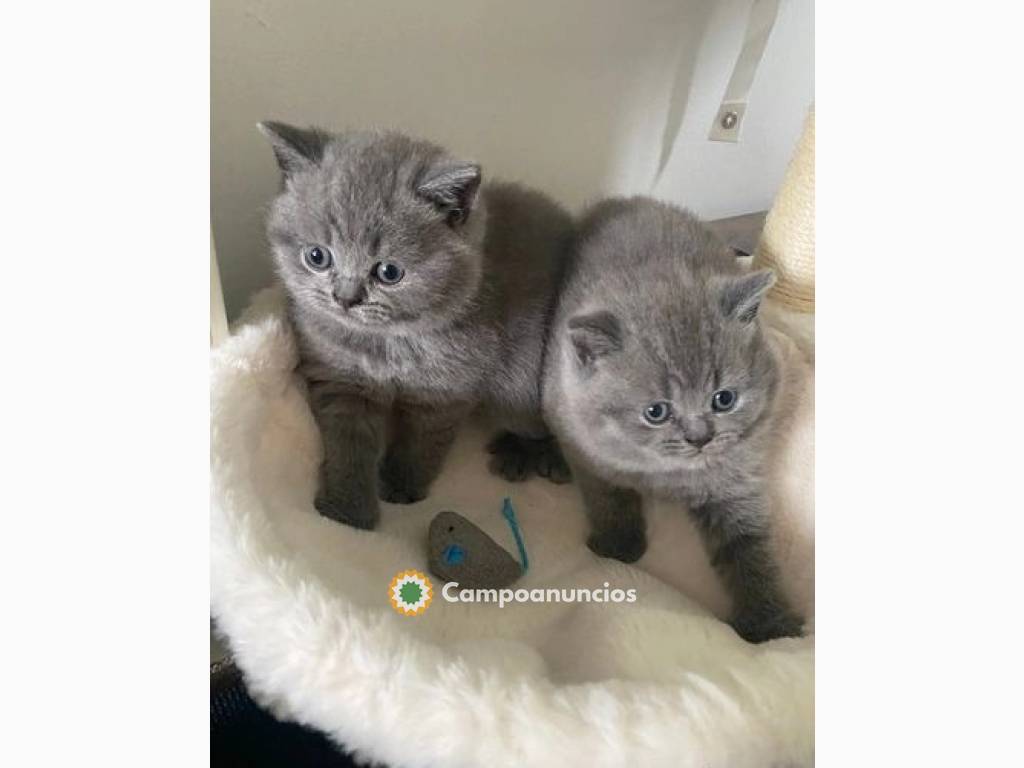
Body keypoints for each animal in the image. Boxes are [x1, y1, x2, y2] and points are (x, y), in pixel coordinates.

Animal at [260, 123, 573, 532]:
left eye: (389, 272)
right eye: (317, 256)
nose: (345, 298)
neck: (385, 343)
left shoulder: (446, 390)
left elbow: (424, 440)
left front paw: (402, 485)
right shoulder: (341, 380)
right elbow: (348, 443)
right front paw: (346, 512)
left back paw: (533, 454)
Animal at [544, 196, 806, 643]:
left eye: (724, 399)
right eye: (656, 412)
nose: (700, 437)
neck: (669, 474)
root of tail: (627, 200)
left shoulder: (737, 480)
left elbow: (748, 548)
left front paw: (769, 624)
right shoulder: (580, 441)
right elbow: (607, 494)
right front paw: (617, 544)